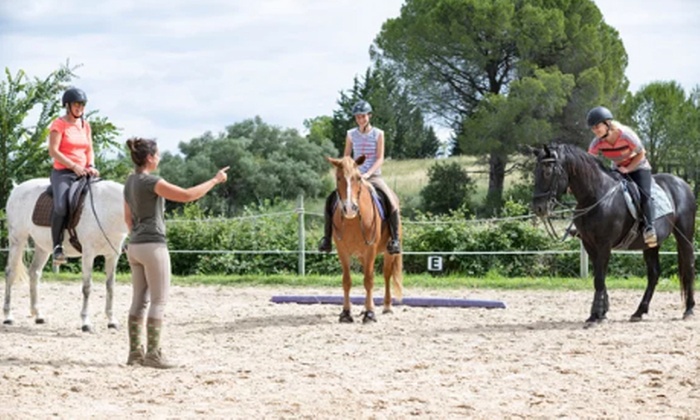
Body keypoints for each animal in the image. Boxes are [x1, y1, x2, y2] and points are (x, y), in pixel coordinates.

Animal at [4, 177, 128, 332]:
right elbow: (87, 287)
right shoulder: (88, 254)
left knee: (34, 273)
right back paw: (8, 316)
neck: (106, 208)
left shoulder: (112, 255)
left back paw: (38, 315)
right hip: (17, 240)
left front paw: (111, 321)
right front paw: (85, 322)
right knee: (10, 273)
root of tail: (17, 188)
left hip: (42, 247)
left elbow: (110, 287)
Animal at [326, 155, 403, 323]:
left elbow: (369, 280)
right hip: (362, 255)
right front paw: (346, 313)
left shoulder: (371, 248)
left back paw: (386, 306)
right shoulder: (342, 251)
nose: (350, 209)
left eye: (358, 178)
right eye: (338, 177)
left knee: (386, 275)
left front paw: (370, 314)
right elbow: (347, 281)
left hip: (388, 252)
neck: (353, 220)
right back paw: (365, 308)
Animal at [530, 143, 696, 325]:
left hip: (685, 237)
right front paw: (601, 312)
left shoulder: (604, 244)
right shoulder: (589, 244)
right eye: (535, 172)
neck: (596, 196)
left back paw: (689, 310)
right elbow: (599, 277)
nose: (539, 208)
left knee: (689, 266)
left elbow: (599, 278)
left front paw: (596, 315)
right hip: (651, 244)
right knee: (653, 274)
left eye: (547, 172)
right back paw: (639, 311)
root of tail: (683, 184)